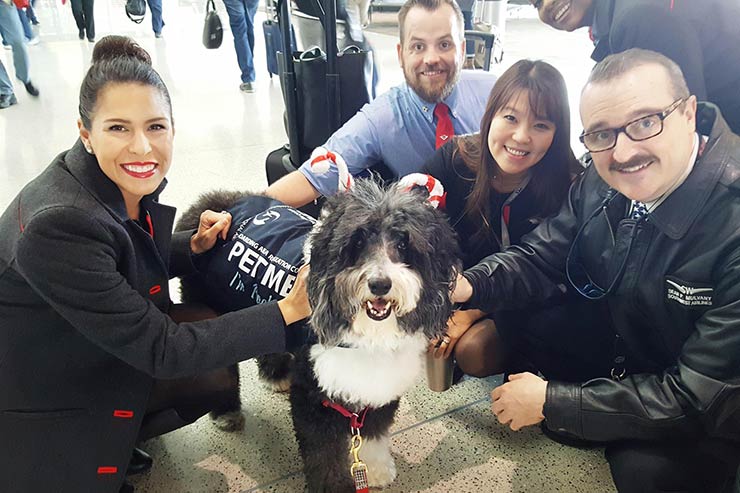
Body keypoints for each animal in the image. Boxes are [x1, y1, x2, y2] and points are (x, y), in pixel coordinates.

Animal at [292, 179, 460, 490]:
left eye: (403, 243)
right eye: (357, 241)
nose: (380, 284)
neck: (368, 338)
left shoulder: (380, 392)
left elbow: (373, 433)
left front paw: (377, 470)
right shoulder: (312, 399)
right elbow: (325, 455)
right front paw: (334, 487)